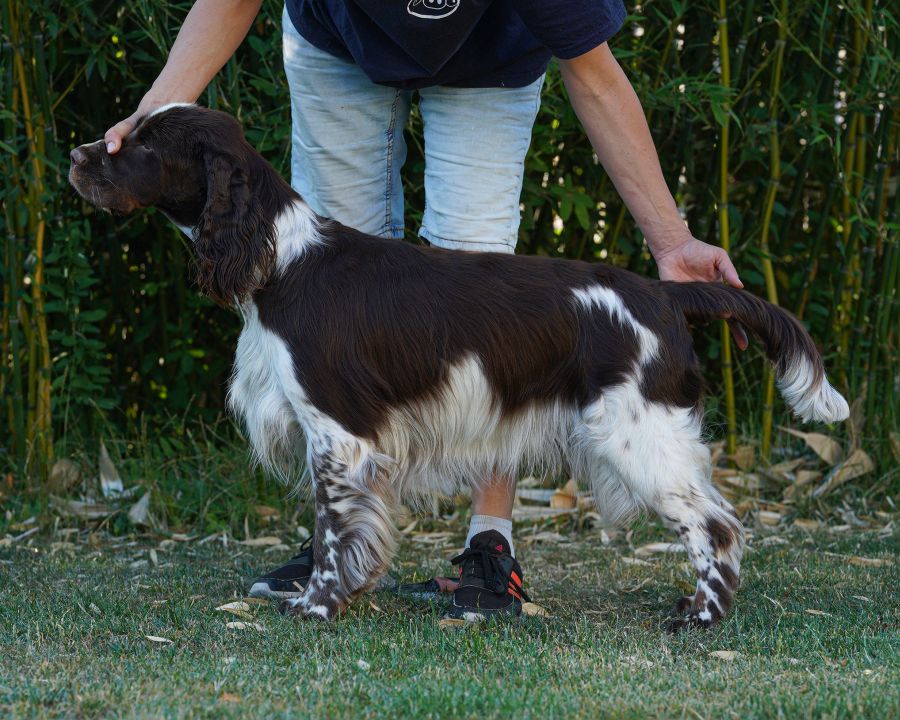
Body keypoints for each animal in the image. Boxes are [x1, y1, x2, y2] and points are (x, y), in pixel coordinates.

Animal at [68, 104, 844, 628]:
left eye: (143, 144)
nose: (76, 153)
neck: (281, 261)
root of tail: (664, 292)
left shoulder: (339, 434)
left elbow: (333, 533)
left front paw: (316, 606)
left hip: (639, 437)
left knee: (716, 526)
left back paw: (698, 617)